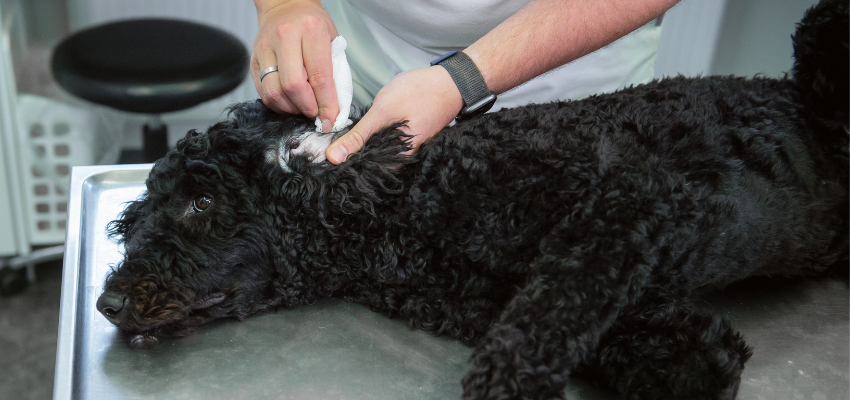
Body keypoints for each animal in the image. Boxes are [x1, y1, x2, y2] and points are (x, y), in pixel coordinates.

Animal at [97, 1, 840, 398]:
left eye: (199, 204)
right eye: (139, 215)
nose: (107, 302)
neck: (402, 216)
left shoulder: (633, 195)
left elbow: (546, 314)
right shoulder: (637, 316)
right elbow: (686, 351)